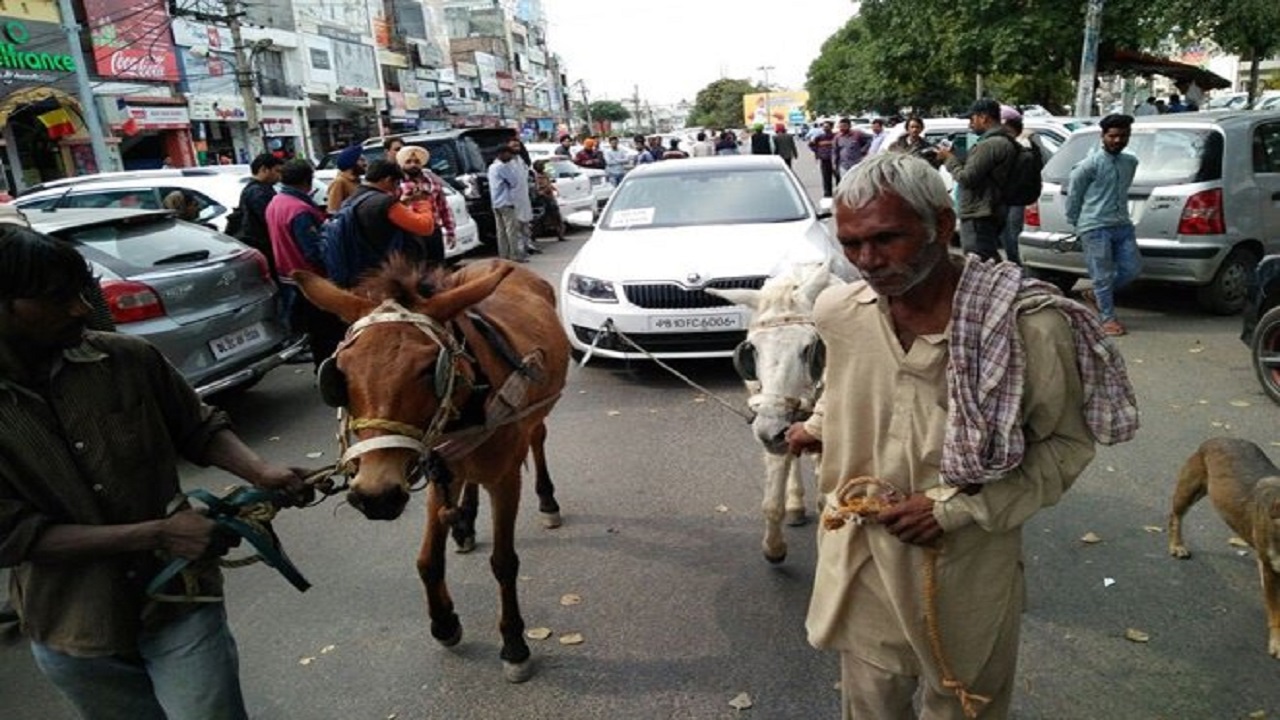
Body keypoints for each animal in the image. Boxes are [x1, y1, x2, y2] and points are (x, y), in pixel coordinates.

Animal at [1172, 438, 1280, 655]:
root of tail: (1219, 438)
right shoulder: (1271, 570)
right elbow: (1276, 613)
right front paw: (1277, 643)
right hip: (1189, 489)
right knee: (1175, 517)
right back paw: (1176, 545)